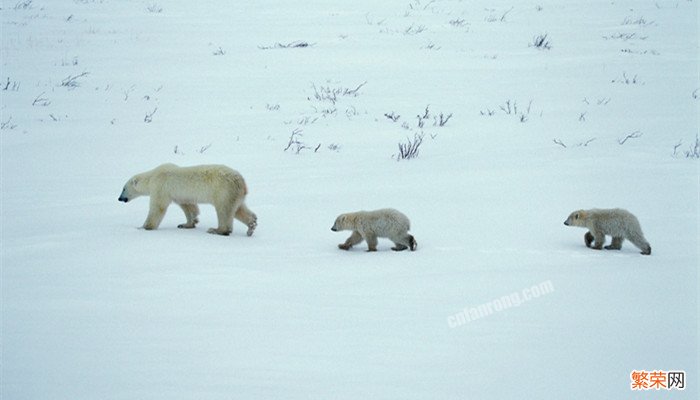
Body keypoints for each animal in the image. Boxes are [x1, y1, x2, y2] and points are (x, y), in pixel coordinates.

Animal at [119, 163, 258, 236]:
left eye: (123, 188)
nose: (119, 198)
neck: (152, 177)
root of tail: (241, 181)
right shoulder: (181, 195)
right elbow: (189, 207)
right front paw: (186, 224)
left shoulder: (160, 187)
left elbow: (158, 207)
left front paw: (144, 227)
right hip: (234, 194)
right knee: (238, 209)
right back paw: (251, 225)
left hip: (223, 190)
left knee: (224, 210)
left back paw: (216, 230)